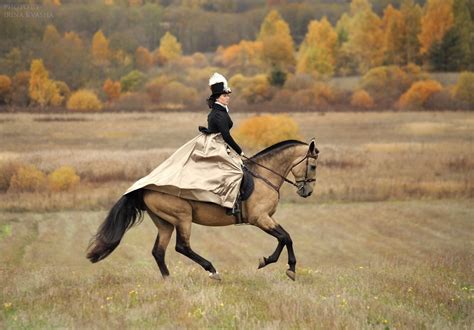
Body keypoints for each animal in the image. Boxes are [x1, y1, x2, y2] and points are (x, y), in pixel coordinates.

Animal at [87, 139, 320, 282]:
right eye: (314, 166)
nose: (307, 192)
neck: (265, 175)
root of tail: (146, 187)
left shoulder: (266, 219)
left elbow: (283, 238)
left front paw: (269, 261)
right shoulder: (260, 218)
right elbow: (286, 237)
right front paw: (288, 268)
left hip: (165, 223)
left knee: (158, 251)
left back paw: (168, 280)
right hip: (182, 217)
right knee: (182, 246)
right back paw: (212, 271)